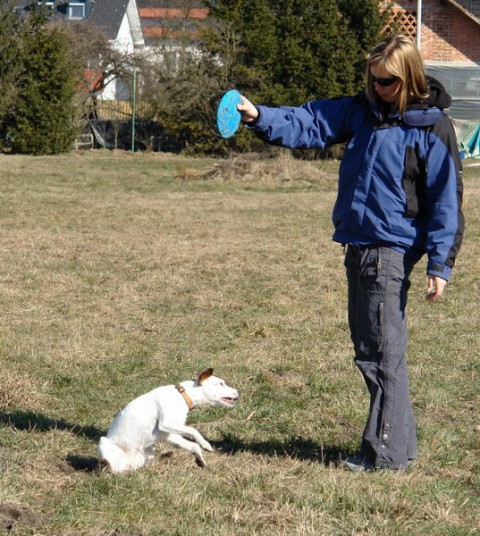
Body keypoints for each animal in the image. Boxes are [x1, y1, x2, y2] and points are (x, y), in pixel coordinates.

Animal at [98, 368, 240, 474]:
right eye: (220, 383)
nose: (238, 392)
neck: (182, 396)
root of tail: (126, 467)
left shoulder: (170, 435)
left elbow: (193, 446)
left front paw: (200, 460)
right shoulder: (166, 423)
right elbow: (193, 430)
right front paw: (205, 443)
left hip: (145, 453)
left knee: (146, 463)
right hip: (104, 442)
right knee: (110, 468)